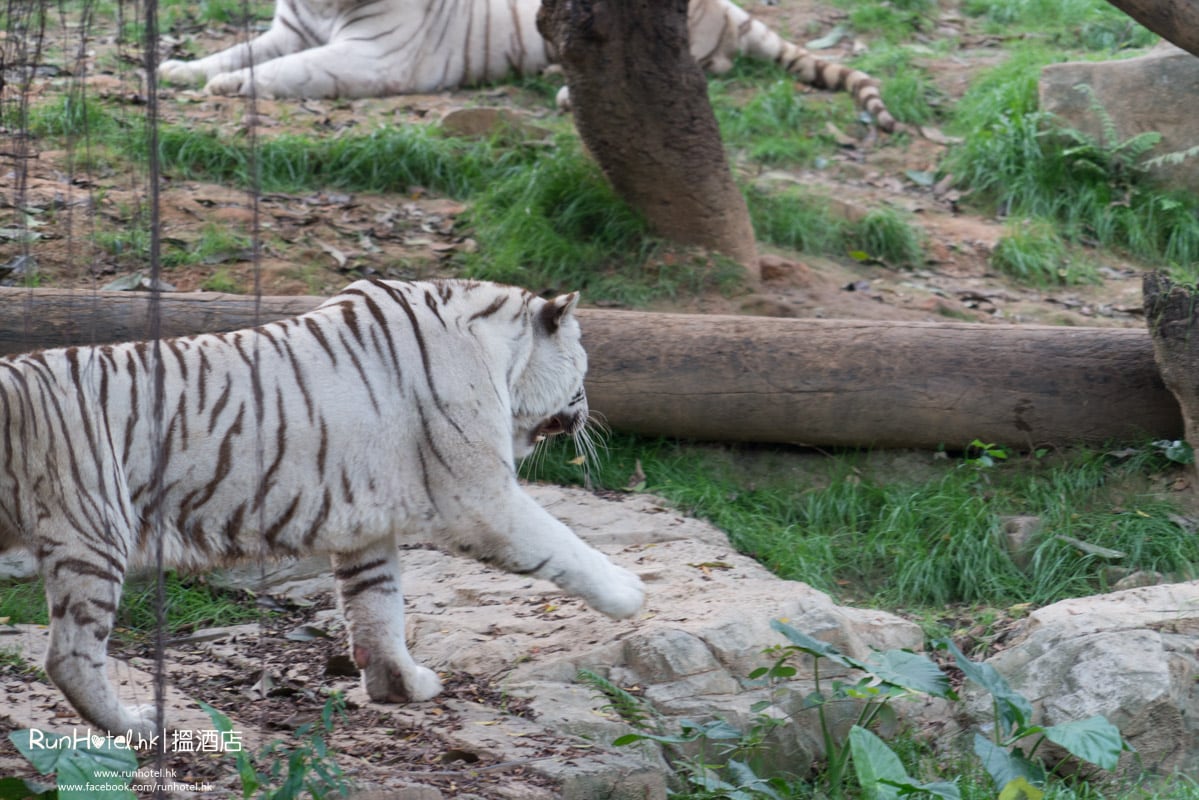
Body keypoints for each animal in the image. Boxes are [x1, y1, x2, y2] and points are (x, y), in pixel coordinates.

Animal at [0, 281, 647, 738]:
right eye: (584, 366)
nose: (586, 412)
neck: (497, 350)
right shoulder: (479, 495)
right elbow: (563, 543)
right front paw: (631, 595)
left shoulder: (365, 523)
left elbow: (378, 608)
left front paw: (400, 685)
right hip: (94, 532)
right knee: (71, 655)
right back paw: (135, 726)